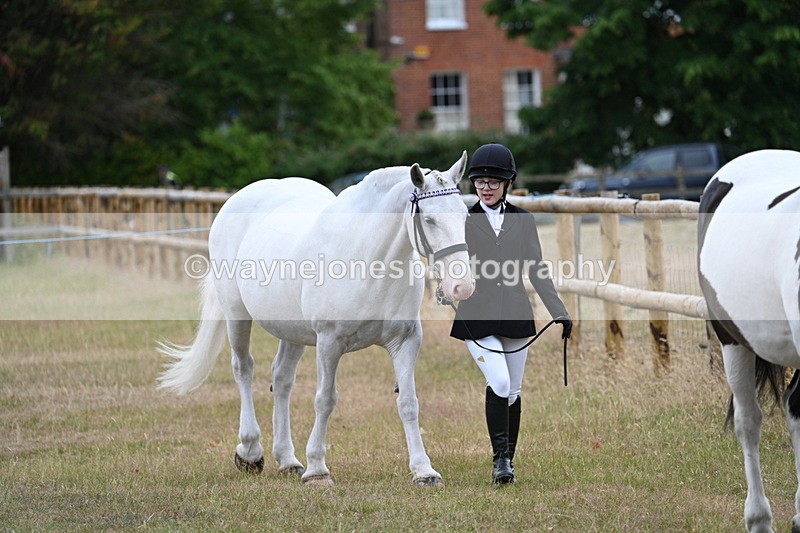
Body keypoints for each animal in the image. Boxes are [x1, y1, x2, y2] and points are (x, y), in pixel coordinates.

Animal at [158, 153, 475, 487]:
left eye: (464, 216)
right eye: (429, 220)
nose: (462, 287)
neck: (367, 261)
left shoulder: (406, 341)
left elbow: (409, 403)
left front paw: (424, 471)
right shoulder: (329, 342)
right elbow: (325, 400)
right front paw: (317, 470)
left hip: (293, 331)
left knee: (281, 379)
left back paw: (287, 459)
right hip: (237, 315)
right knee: (243, 369)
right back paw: (250, 451)